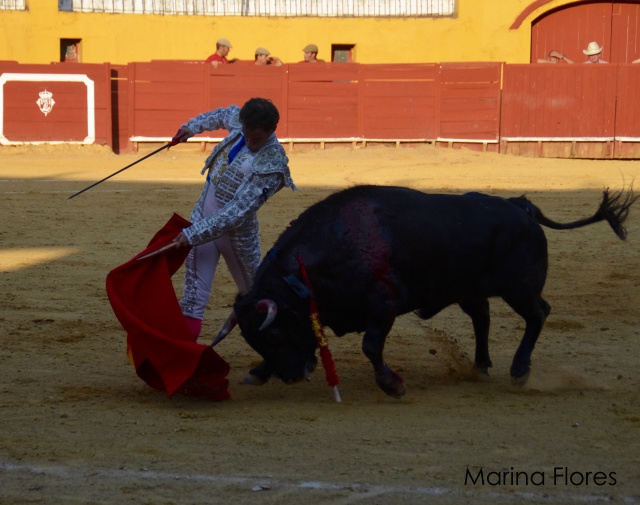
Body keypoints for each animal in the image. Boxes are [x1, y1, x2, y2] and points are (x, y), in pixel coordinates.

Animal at [230, 185, 636, 398]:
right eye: (257, 340)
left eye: (275, 334)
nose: (291, 376)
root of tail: (519, 205)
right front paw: (258, 372)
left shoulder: (385, 302)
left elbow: (371, 346)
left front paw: (392, 384)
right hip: (470, 290)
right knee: (483, 319)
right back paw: (480, 366)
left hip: (519, 288)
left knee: (538, 313)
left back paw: (519, 370)